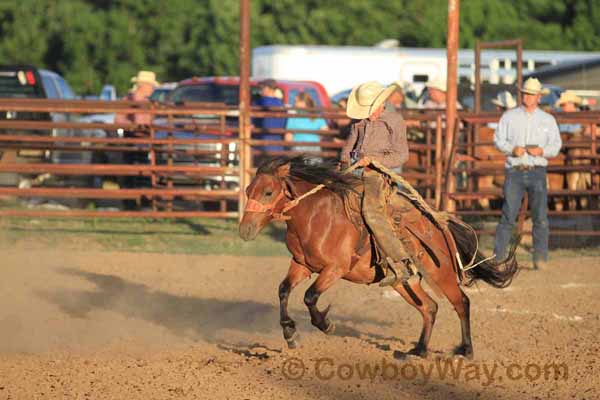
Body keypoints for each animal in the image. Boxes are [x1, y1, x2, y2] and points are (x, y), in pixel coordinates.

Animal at [237, 156, 516, 360]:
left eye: (268, 192)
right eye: (248, 190)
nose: (245, 230)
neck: (316, 215)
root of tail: (438, 224)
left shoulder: (335, 269)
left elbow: (310, 296)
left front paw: (326, 325)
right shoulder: (302, 265)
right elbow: (283, 290)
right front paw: (289, 333)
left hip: (442, 273)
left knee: (462, 303)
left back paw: (465, 351)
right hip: (405, 283)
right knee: (429, 307)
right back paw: (417, 351)